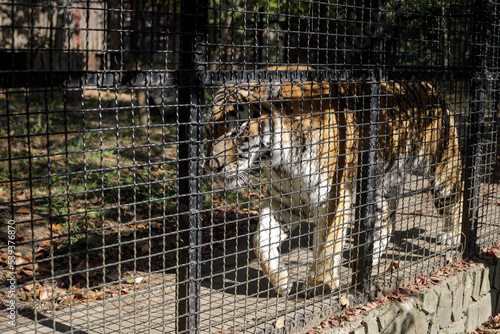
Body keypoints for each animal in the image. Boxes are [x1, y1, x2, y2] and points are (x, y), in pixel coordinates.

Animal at [203, 66, 460, 296]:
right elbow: (260, 241)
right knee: (387, 223)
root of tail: (431, 88)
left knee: (457, 196)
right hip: (380, 190)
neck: (280, 159)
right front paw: (283, 281)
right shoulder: (285, 200)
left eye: (238, 128)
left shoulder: (334, 196)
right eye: (208, 130)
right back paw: (368, 259)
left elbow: (327, 245)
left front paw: (319, 284)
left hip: (441, 168)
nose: (213, 167)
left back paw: (451, 235)